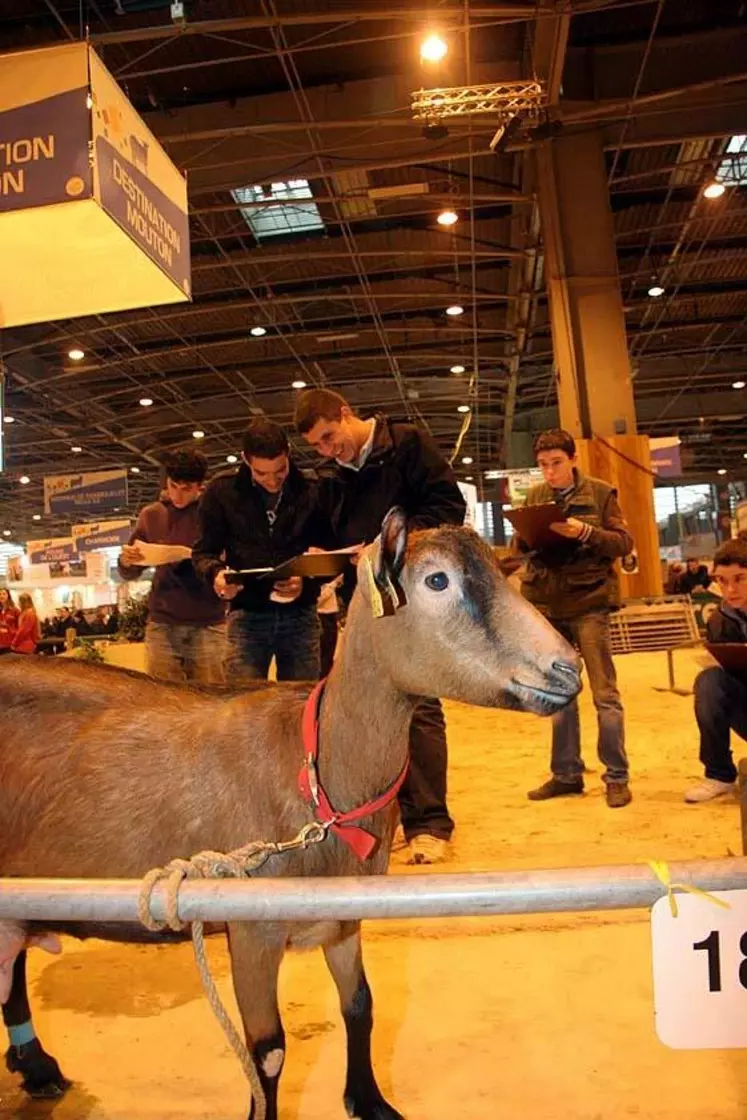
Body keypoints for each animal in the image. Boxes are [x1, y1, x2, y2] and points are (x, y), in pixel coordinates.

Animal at [0, 512, 582, 1115]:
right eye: (437, 580)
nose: (567, 668)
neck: (319, 775)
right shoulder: (252, 929)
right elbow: (268, 1053)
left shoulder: (343, 919)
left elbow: (360, 1006)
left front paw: (368, 1101)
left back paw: (37, 1067)